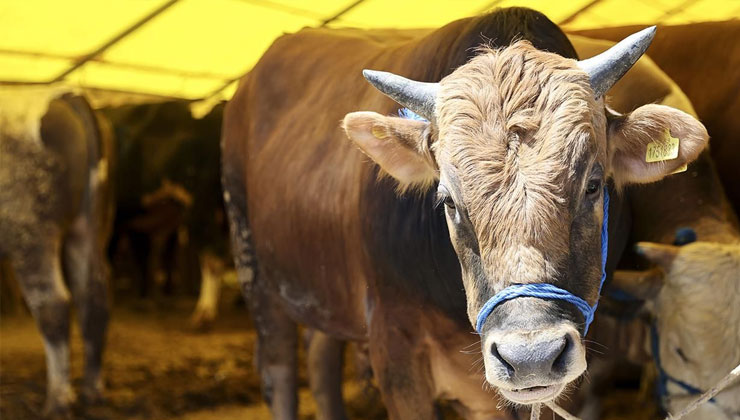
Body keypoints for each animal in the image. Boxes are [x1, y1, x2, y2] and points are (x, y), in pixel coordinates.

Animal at [0, 87, 114, 416]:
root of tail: (63, 94)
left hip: (31, 233)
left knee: (54, 304)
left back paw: (59, 400)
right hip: (88, 228)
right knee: (93, 298)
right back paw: (92, 391)